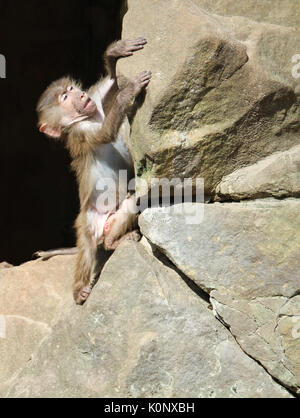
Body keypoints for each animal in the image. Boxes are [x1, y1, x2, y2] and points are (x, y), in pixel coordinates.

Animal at [36, 38, 151, 304]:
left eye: (70, 89)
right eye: (64, 97)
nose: (79, 94)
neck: (87, 118)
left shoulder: (96, 104)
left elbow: (110, 84)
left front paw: (115, 53)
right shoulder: (81, 134)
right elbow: (105, 133)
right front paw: (127, 94)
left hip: (113, 217)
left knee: (132, 203)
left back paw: (113, 240)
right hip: (87, 221)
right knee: (87, 250)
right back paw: (79, 290)